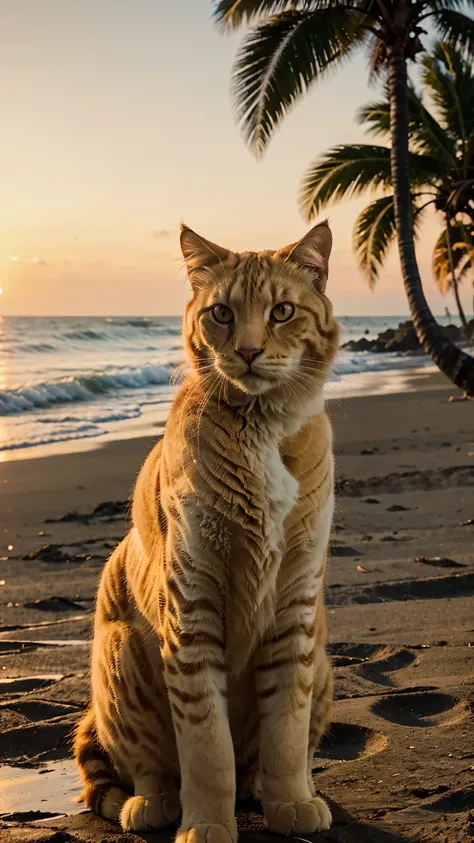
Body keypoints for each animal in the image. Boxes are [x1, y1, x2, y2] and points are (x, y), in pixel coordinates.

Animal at [74, 224, 338, 843]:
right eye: (221, 313)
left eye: (282, 311)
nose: (247, 350)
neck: (263, 425)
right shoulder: (191, 605)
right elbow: (206, 745)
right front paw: (208, 823)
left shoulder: (296, 603)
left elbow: (286, 729)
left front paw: (292, 800)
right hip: (118, 651)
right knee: (148, 765)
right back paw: (154, 802)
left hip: (324, 656)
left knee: (268, 757)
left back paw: (263, 787)